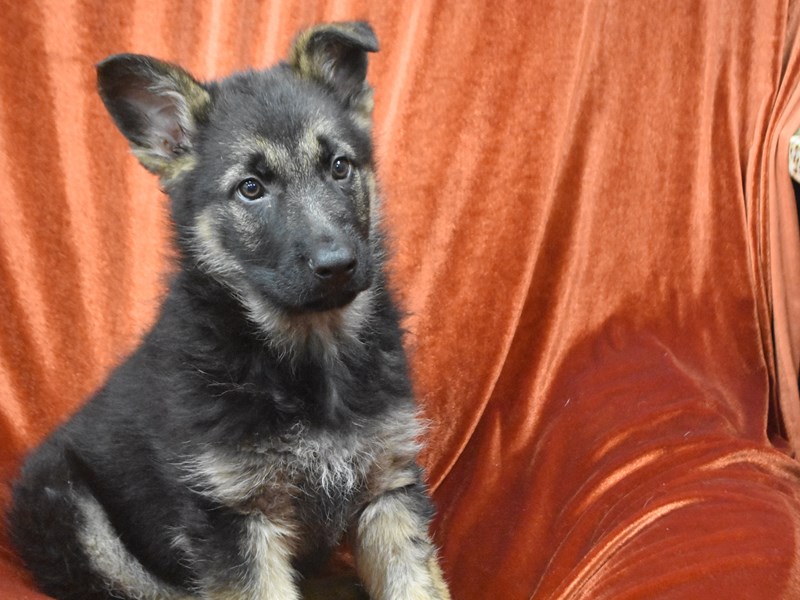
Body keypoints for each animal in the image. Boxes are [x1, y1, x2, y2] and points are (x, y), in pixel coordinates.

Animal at [7, 22, 450, 600]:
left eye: (339, 167)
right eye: (251, 189)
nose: (337, 265)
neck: (309, 352)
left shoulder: (389, 488)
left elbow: (416, 582)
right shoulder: (234, 517)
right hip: (67, 504)